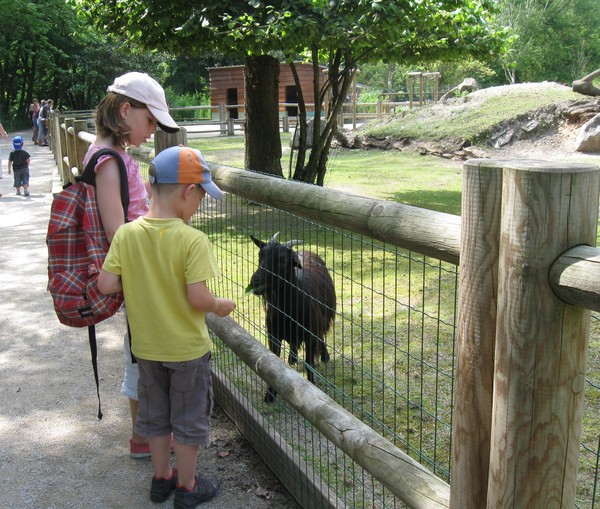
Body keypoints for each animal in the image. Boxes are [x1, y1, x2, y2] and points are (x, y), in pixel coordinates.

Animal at [246, 232, 336, 402]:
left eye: (282, 260)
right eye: (261, 255)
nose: (255, 281)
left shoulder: (309, 334)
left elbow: (309, 363)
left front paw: (312, 384)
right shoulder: (273, 334)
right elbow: (273, 363)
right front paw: (270, 395)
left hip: (324, 317)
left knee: (322, 335)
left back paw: (325, 356)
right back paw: (292, 359)